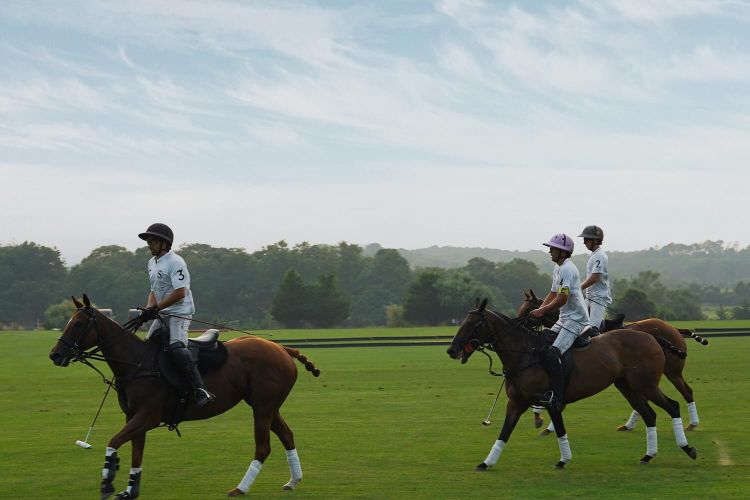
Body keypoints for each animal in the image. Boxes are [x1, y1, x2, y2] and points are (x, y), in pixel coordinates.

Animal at [49, 294, 320, 498]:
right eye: (68, 322)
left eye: (79, 324)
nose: (55, 355)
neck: (138, 362)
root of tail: (283, 348)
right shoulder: (134, 417)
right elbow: (136, 452)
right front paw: (130, 490)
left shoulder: (148, 416)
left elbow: (113, 441)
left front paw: (107, 481)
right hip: (266, 405)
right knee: (287, 434)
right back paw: (293, 481)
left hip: (263, 407)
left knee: (263, 447)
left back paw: (240, 488)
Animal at [520, 292, 708, 432]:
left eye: (529, 309)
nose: (519, 325)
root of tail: (674, 328)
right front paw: (540, 416)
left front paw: (542, 418)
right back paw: (629, 425)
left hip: (671, 371)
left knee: (686, 391)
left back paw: (692, 424)